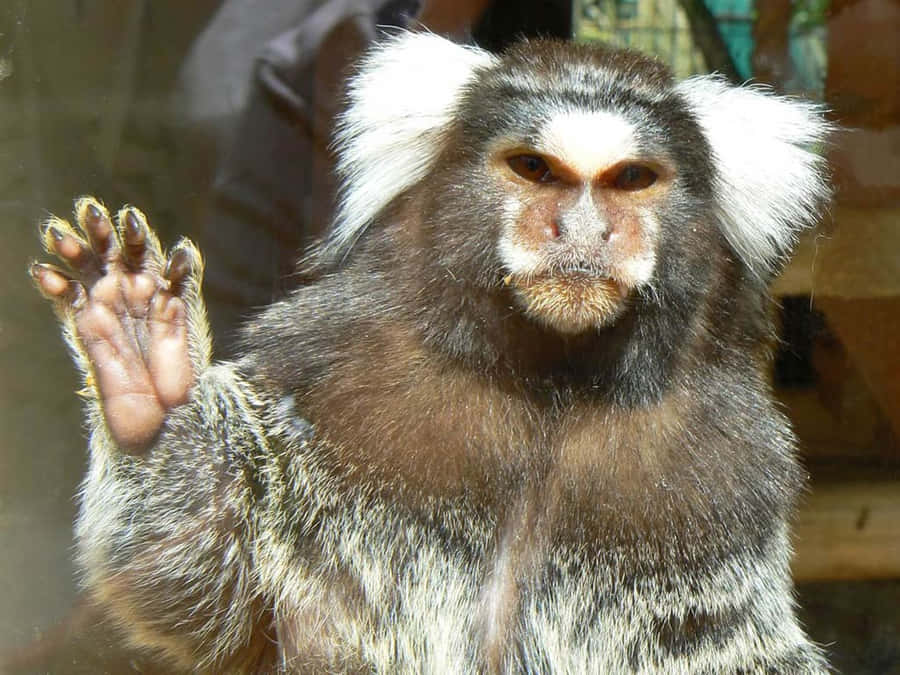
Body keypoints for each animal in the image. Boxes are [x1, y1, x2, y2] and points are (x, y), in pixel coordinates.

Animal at [30, 33, 831, 673]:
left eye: (632, 179)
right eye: (534, 169)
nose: (580, 230)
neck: (551, 391)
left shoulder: (728, 470)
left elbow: (736, 647)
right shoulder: (325, 365)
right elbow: (207, 594)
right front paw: (148, 388)